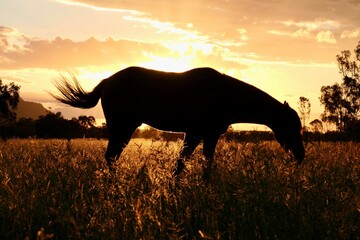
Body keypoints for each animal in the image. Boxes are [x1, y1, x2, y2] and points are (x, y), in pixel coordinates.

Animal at [52, 66, 306, 177]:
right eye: (292, 128)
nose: (301, 156)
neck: (225, 95)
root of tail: (108, 80)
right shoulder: (200, 134)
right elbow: (194, 164)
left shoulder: (200, 135)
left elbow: (187, 163)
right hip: (122, 127)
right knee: (111, 156)